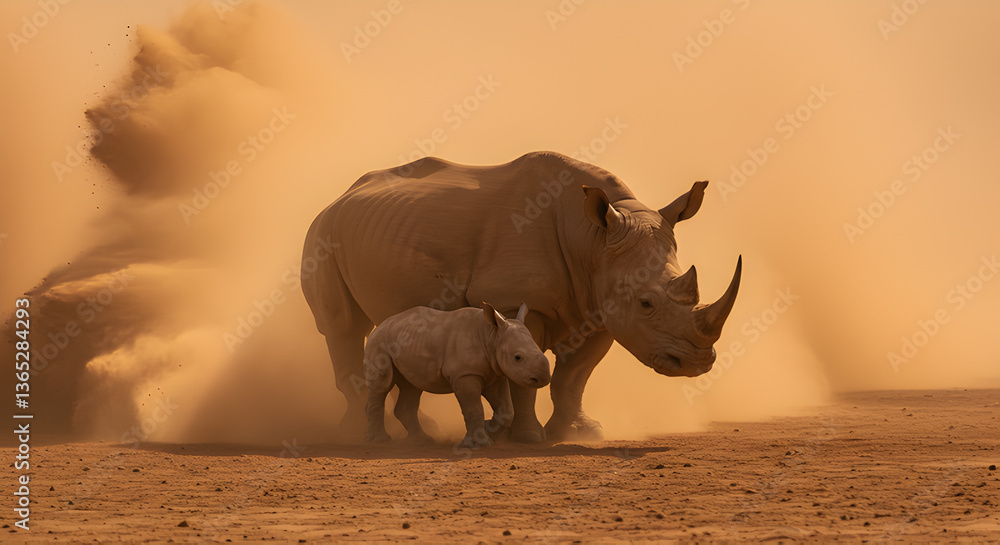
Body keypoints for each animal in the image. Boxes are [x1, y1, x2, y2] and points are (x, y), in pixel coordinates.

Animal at [364, 302, 550, 447]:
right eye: (517, 357)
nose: (543, 378)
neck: (492, 336)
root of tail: (380, 325)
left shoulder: (495, 374)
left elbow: (506, 411)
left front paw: (488, 434)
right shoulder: (464, 374)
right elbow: (474, 408)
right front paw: (480, 443)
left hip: (405, 343)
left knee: (412, 387)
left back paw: (423, 440)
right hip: (378, 341)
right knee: (382, 384)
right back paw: (380, 441)